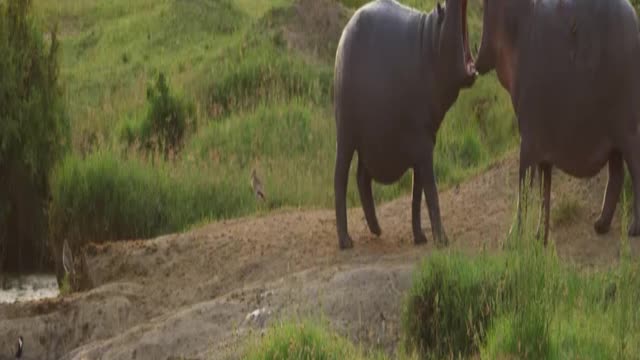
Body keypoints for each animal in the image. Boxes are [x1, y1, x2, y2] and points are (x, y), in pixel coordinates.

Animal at [332, 0, 478, 249]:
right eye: (445, 8)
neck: (432, 40)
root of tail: (348, 27)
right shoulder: (423, 147)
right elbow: (431, 192)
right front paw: (443, 240)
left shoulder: (424, 144)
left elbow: (417, 194)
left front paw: (420, 238)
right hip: (346, 133)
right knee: (340, 177)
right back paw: (345, 241)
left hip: (369, 140)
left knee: (362, 177)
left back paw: (377, 229)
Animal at [472, 0, 640, 245]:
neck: (518, 22)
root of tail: (632, 16)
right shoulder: (542, 150)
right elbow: (544, 190)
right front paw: (539, 237)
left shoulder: (528, 142)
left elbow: (524, 186)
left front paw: (512, 241)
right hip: (613, 139)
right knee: (617, 175)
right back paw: (600, 226)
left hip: (627, 130)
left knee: (635, 167)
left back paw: (633, 229)